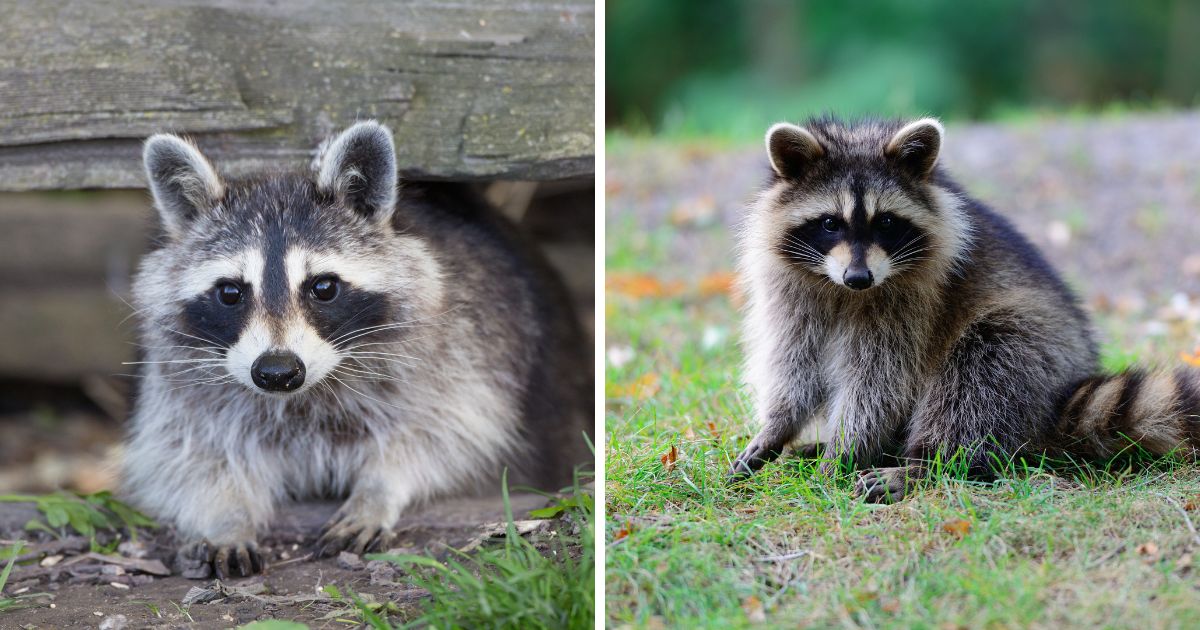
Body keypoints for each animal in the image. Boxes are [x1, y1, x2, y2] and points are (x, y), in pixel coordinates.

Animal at [123, 121, 592, 578]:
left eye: (323, 287)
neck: (306, 394)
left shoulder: (465, 350)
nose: (277, 372)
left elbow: (445, 435)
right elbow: (190, 455)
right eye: (230, 292)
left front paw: (379, 489)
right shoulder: (184, 383)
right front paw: (226, 515)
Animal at [730, 116, 1199, 502]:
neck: (843, 291)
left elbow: (879, 382)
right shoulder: (791, 293)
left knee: (978, 376)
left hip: (1033, 346)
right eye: (830, 223)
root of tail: (1063, 392)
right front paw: (778, 427)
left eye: (886, 222)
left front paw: (847, 451)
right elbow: (794, 364)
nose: (859, 277)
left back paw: (924, 464)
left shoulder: (912, 304)